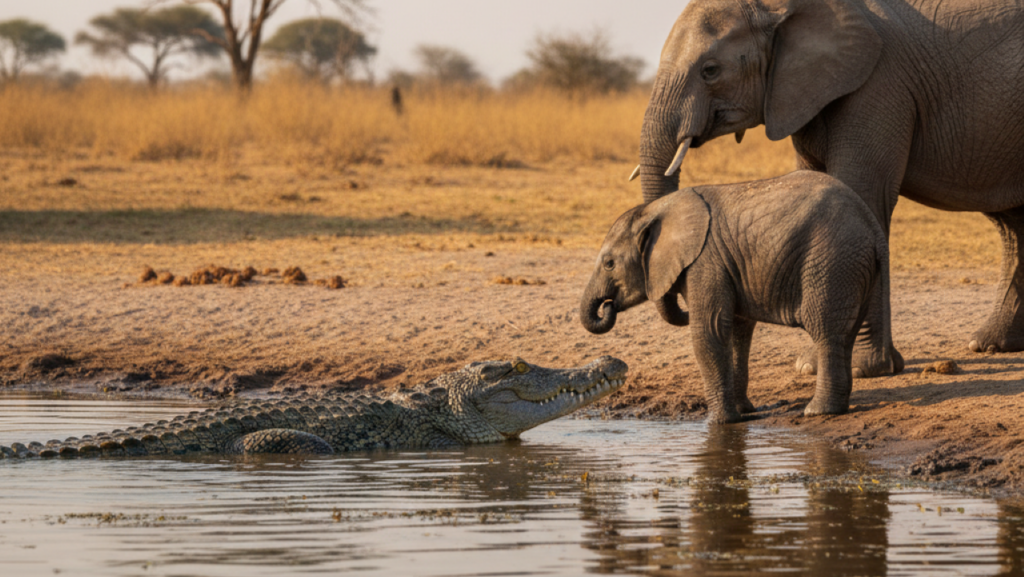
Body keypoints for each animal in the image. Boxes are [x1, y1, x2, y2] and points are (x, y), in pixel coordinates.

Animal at [580, 171, 886, 423]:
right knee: (845, 334)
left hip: (831, 262)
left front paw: (719, 423)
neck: (655, 211)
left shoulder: (705, 261)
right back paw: (836, 409)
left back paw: (817, 412)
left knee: (825, 330)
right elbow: (738, 332)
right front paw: (742, 412)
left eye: (609, 264)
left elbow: (709, 331)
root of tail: (872, 225)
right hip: (852, 267)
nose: (608, 306)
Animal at [633, 0, 1024, 378]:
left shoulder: (878, 85)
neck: (779, 7)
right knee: (1012, 224)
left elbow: (861, 193)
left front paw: (864, 369)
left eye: (710, 70)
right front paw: (812, 365)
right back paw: (990, 346)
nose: (683, 307)